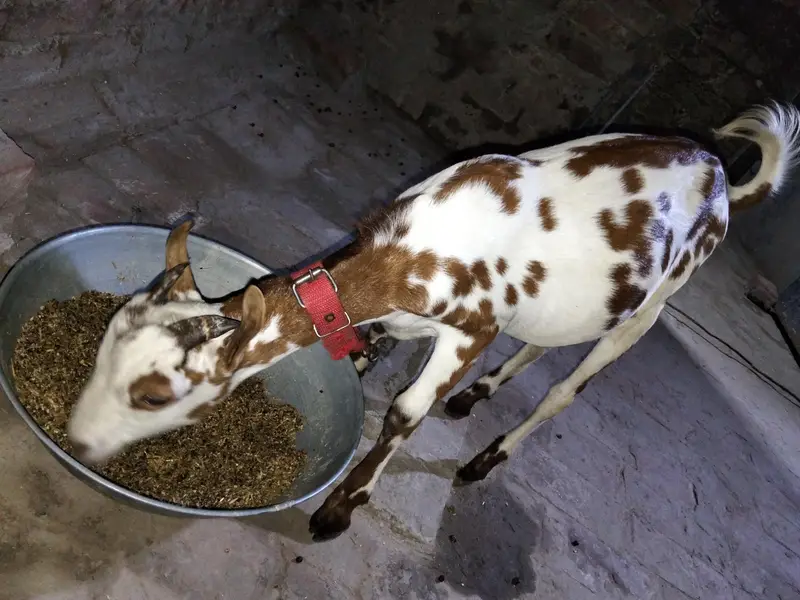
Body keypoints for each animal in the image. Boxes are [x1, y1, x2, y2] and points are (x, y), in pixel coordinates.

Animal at [67, 102, 800, 542]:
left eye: (154, 395)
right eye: (103, 342)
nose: (78, 439)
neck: (412, 252)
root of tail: (717, 170)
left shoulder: (473, 328)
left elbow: (406, 411)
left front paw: (340, 510)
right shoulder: (405, 317)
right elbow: (372, 351)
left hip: (655, 305)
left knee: (569, 388)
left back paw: (484, 459)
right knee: (544, 344)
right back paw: (477, 397)